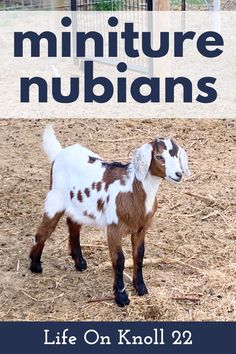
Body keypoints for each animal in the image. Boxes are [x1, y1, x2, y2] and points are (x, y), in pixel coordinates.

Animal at [29, 126, 191, 306]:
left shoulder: (141, 229)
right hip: (55, 198)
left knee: (73, 225)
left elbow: (139, 255)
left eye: (176, 155)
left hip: (77, 204)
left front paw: (141, 288)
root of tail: (59, 153)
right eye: (159, 157)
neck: (134, 190)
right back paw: (35, 266)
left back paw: (79, 262)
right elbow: (119, 260)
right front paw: (121, 297)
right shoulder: (114, 229)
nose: (178, 174)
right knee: (44, 230)